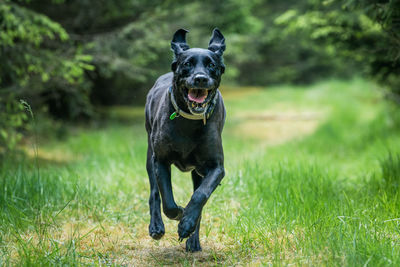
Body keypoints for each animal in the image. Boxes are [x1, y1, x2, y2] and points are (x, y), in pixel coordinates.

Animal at [144, 28, 225, 252]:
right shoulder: (161, 161)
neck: (189, 120)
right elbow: (167, 201)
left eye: (212, 65)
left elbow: (200, 196)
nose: (200, 79)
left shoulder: (216, 167)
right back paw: (156, 227)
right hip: (149, 156)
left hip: (198, 171)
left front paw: (187, 223)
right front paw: (179, 214)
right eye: (187, 63)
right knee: (154, 193)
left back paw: (193, 239)